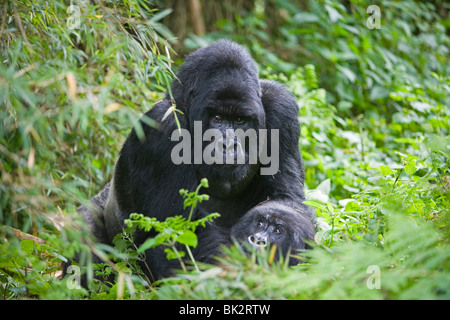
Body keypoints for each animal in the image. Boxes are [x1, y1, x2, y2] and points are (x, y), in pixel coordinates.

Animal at [75, 38, 314, 282]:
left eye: (240, 120)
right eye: (217, 117)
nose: (228, 144)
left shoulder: (281, 109)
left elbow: (285, 197)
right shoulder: (162, 127)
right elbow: (175, 238)